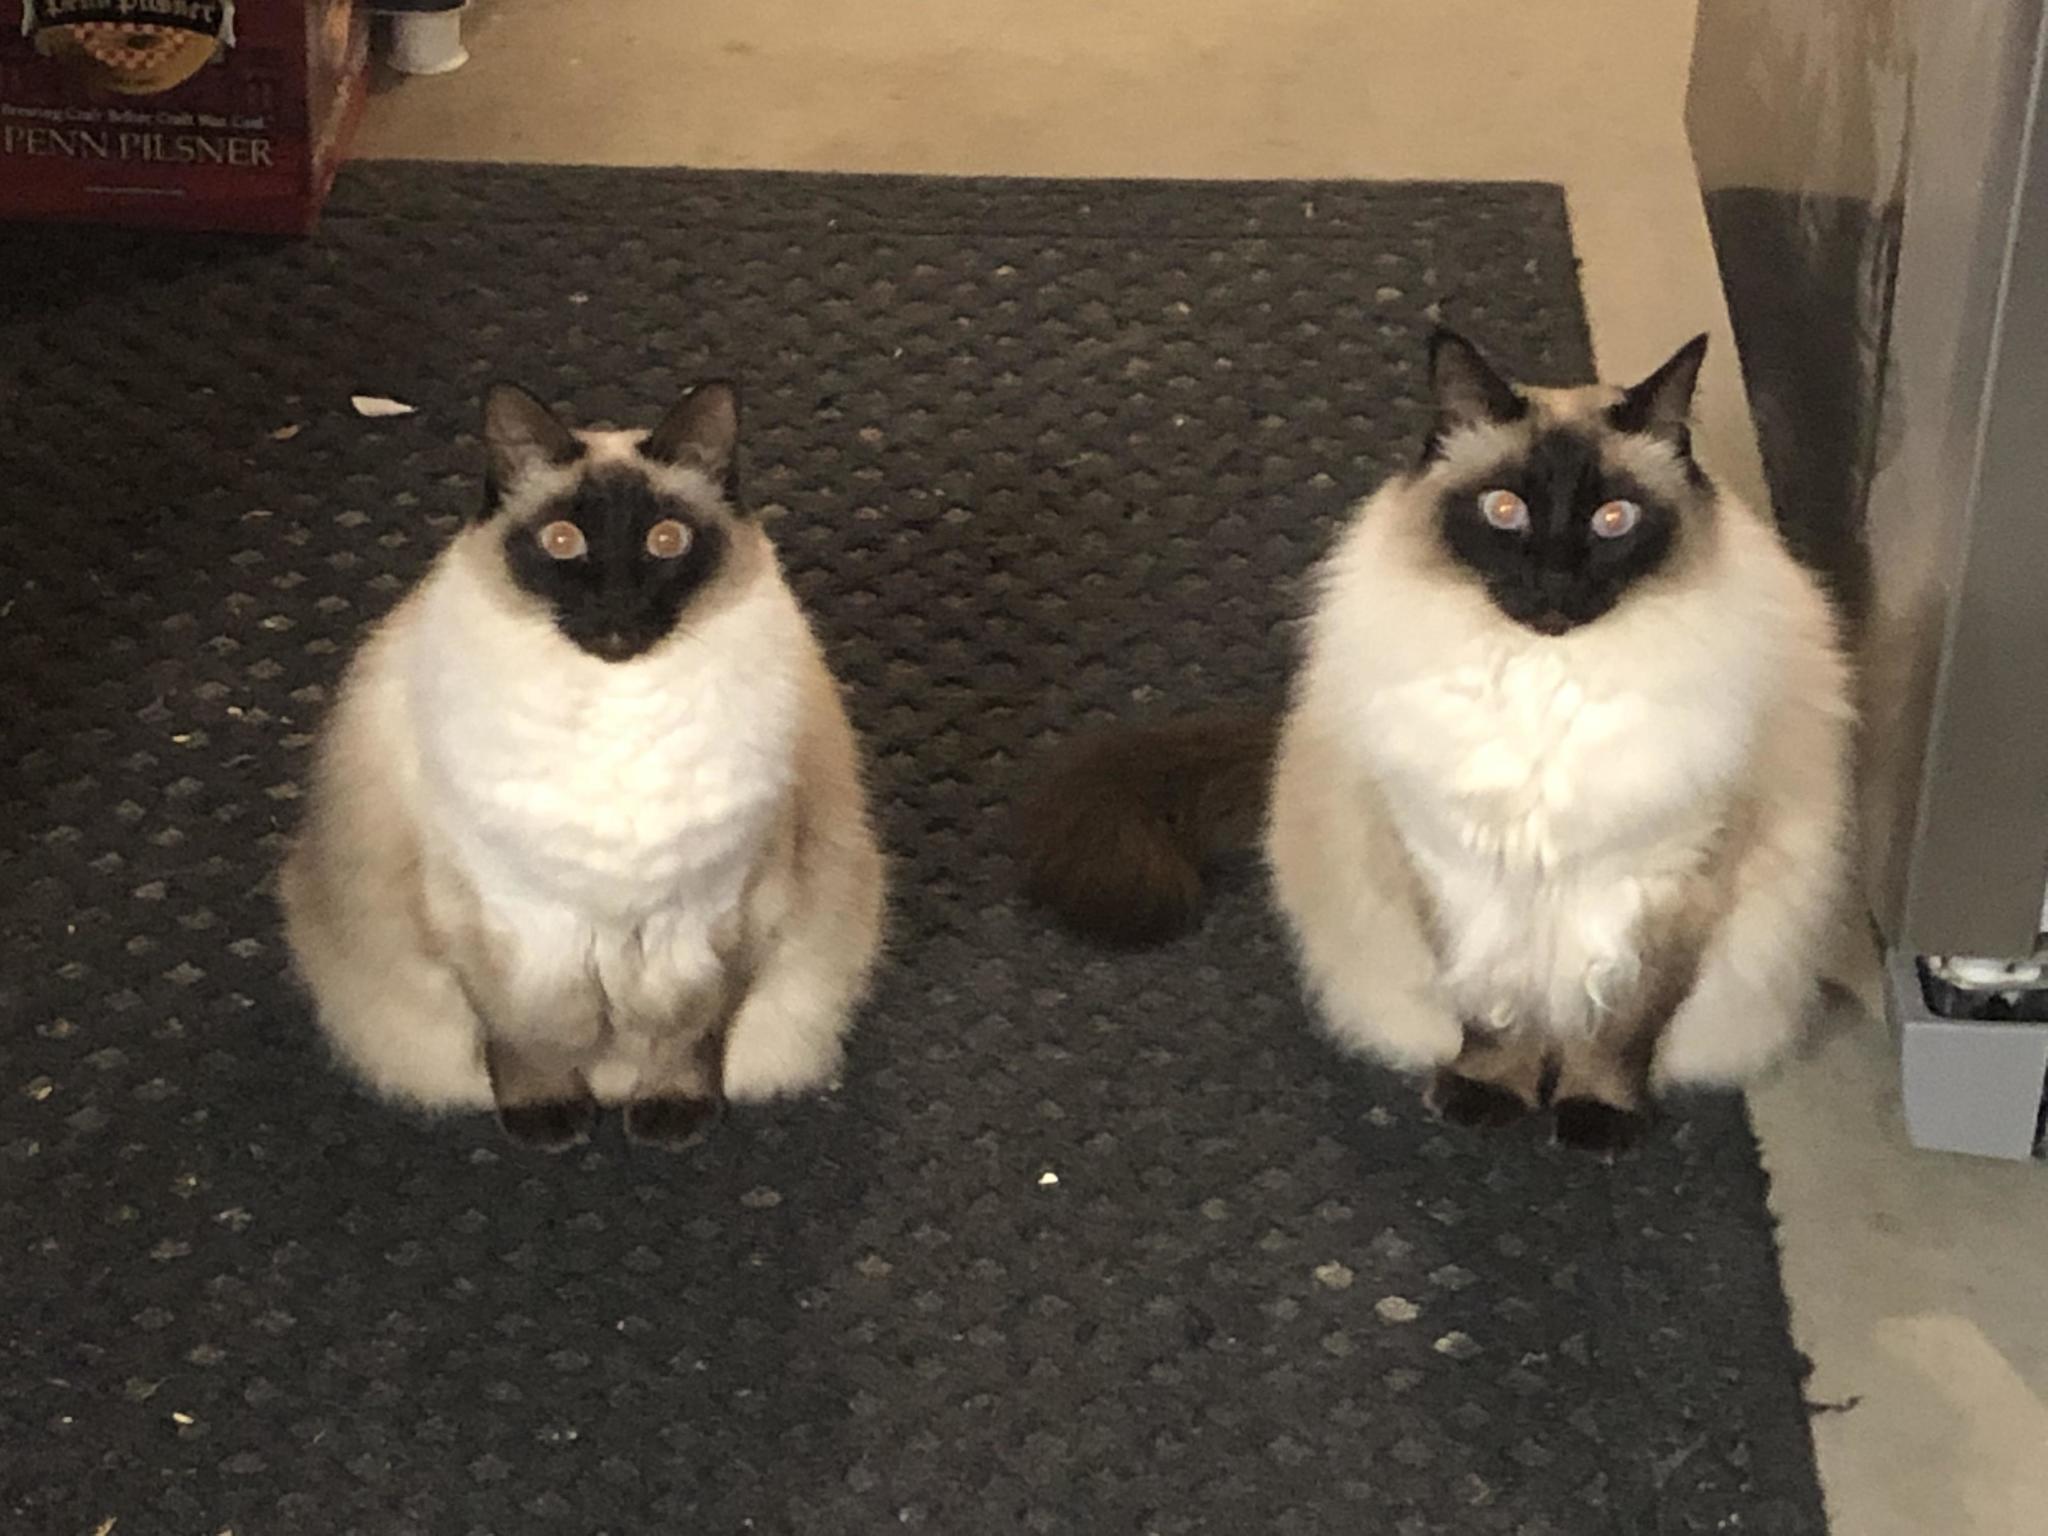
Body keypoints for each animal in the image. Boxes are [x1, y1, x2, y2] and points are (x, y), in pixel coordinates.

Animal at [280, 379, 885, 1150]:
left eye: (666, 541)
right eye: (562, 543)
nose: (617, 608)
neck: (619, 714)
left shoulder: (715, 914)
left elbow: (686, 1033)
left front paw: (669, 1115)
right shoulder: (505, 920)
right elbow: (525, 1037)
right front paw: (547, 1120)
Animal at [1019, 330, 1856, 1152]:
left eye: (1613, 519)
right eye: (1504, 510)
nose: (1554, 582)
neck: (1542, 679)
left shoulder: (1666, 886)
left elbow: (1622, 1028)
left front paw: (1597, 1115)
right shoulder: (1456, 869)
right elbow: (1489, 1006)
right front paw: (1489, 1094)